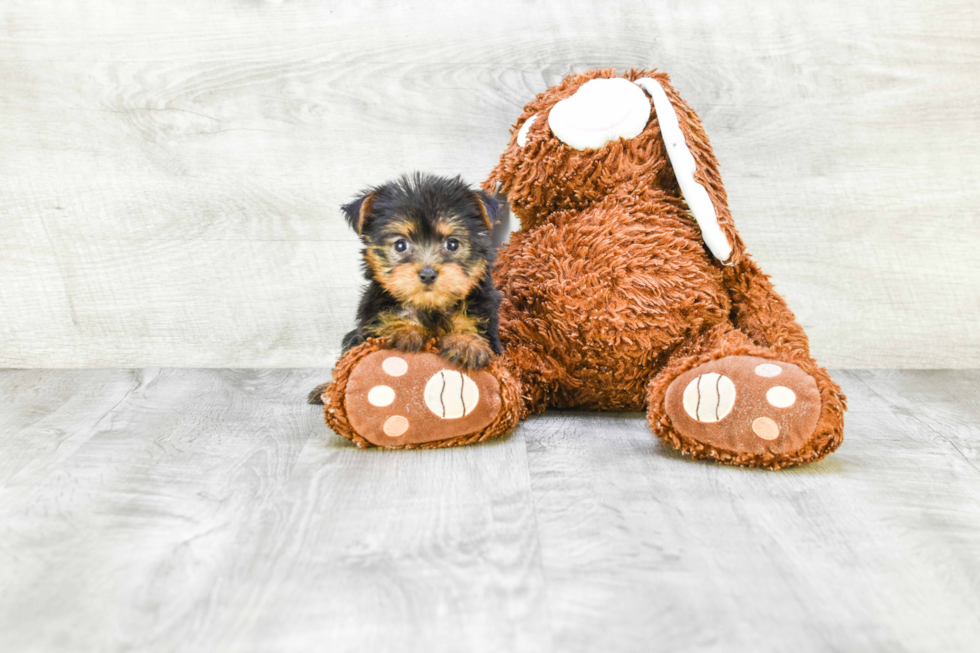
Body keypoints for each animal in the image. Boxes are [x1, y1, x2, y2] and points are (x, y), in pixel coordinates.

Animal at [308, 173, 502, 402]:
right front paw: (405, 331)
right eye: (401, 245)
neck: (429, 306)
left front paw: (466, 342)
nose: (428, 274)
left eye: (452, 244)